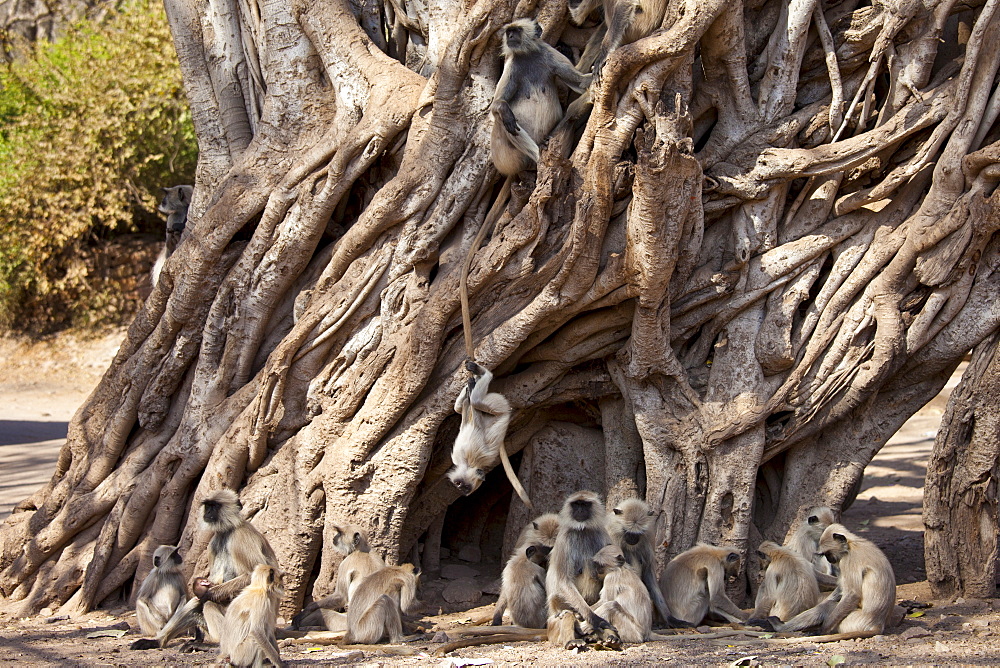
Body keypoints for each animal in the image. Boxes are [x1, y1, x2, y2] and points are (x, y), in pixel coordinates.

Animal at [130, 488, 278, 648]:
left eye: (215, 506)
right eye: (207, 505)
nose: (207, 512)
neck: (228, 530)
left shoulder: (240, 537)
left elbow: (254, 575)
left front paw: (207, 593)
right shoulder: (213, 543)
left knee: (208, 604)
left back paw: (214, 642)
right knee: (194, 603)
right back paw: (158, 641)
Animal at [492, 18, 592, 176]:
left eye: (517, 30)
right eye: (509, 32)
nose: (510, 37)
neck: (527, 54)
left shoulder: (549, 53)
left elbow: (580, 82)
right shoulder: (512, 64)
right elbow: (498, 103)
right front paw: (504, 110)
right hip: (508, 158)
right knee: (501, 117)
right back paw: (538, 153)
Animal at [548, 490, 616, 648]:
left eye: (585, 504)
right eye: (576, 504)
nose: (579, 510)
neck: (583, 529)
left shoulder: (601, 533)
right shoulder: (564, 539)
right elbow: (563, 581)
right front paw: (595, 619)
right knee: (562, 604)